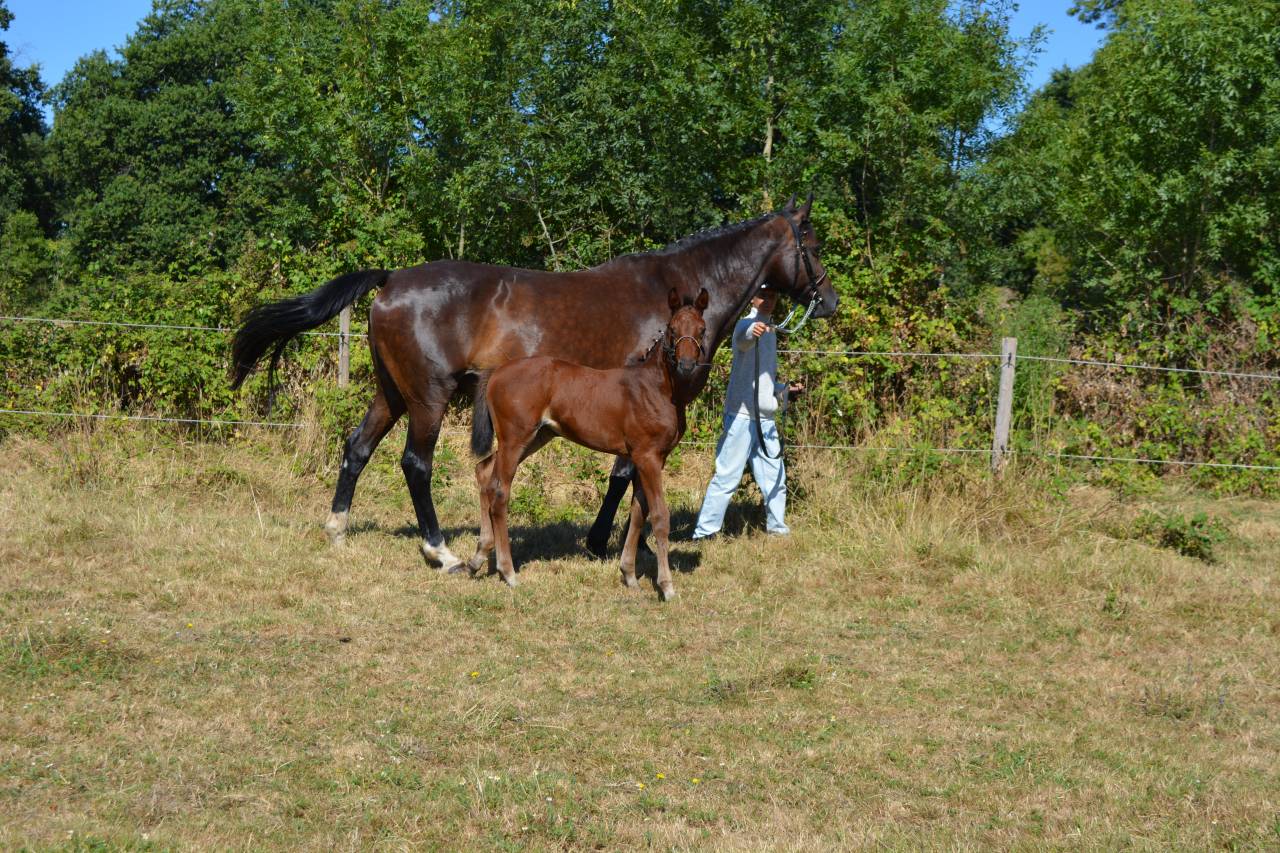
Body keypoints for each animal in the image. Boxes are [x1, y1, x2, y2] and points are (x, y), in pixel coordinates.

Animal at [468, 288, 709, 600]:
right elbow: (658, 517)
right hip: (514, 438)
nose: (686, 365)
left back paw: (477, 558)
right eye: (672, 330)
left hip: (536, 437)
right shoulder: (648, 457)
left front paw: (629, 575)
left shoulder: (650, 457)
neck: (655, 389)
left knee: (484, 471)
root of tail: (497, 371)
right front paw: (666, 587)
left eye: (702, 329)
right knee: (500, 493)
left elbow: (637, 512)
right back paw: (507, 572)